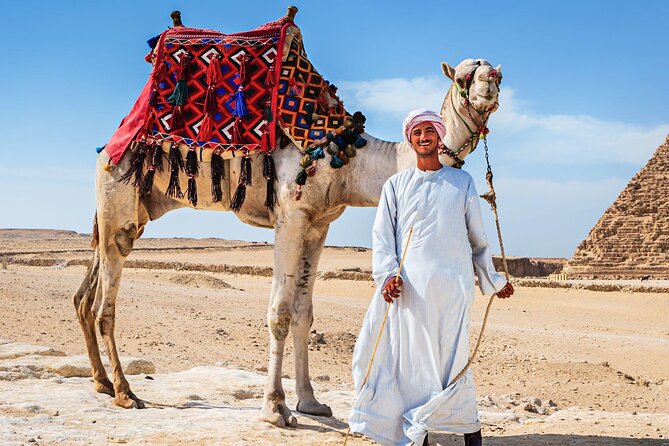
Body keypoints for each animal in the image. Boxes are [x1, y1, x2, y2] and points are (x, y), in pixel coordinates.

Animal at [73, 18, 502, 425]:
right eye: (463, 77)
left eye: (496, 73)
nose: (490, 84)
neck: (347, 156)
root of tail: (109, 146)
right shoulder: (290, 217)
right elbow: (279, 313)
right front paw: (275, 408)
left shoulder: (318, 225)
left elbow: (303, 314)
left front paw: (311, 402)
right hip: (117, 196)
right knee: (105, 304)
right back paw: (125, 392)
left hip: (134, 213)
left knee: (86, 295)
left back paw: (102, 381)